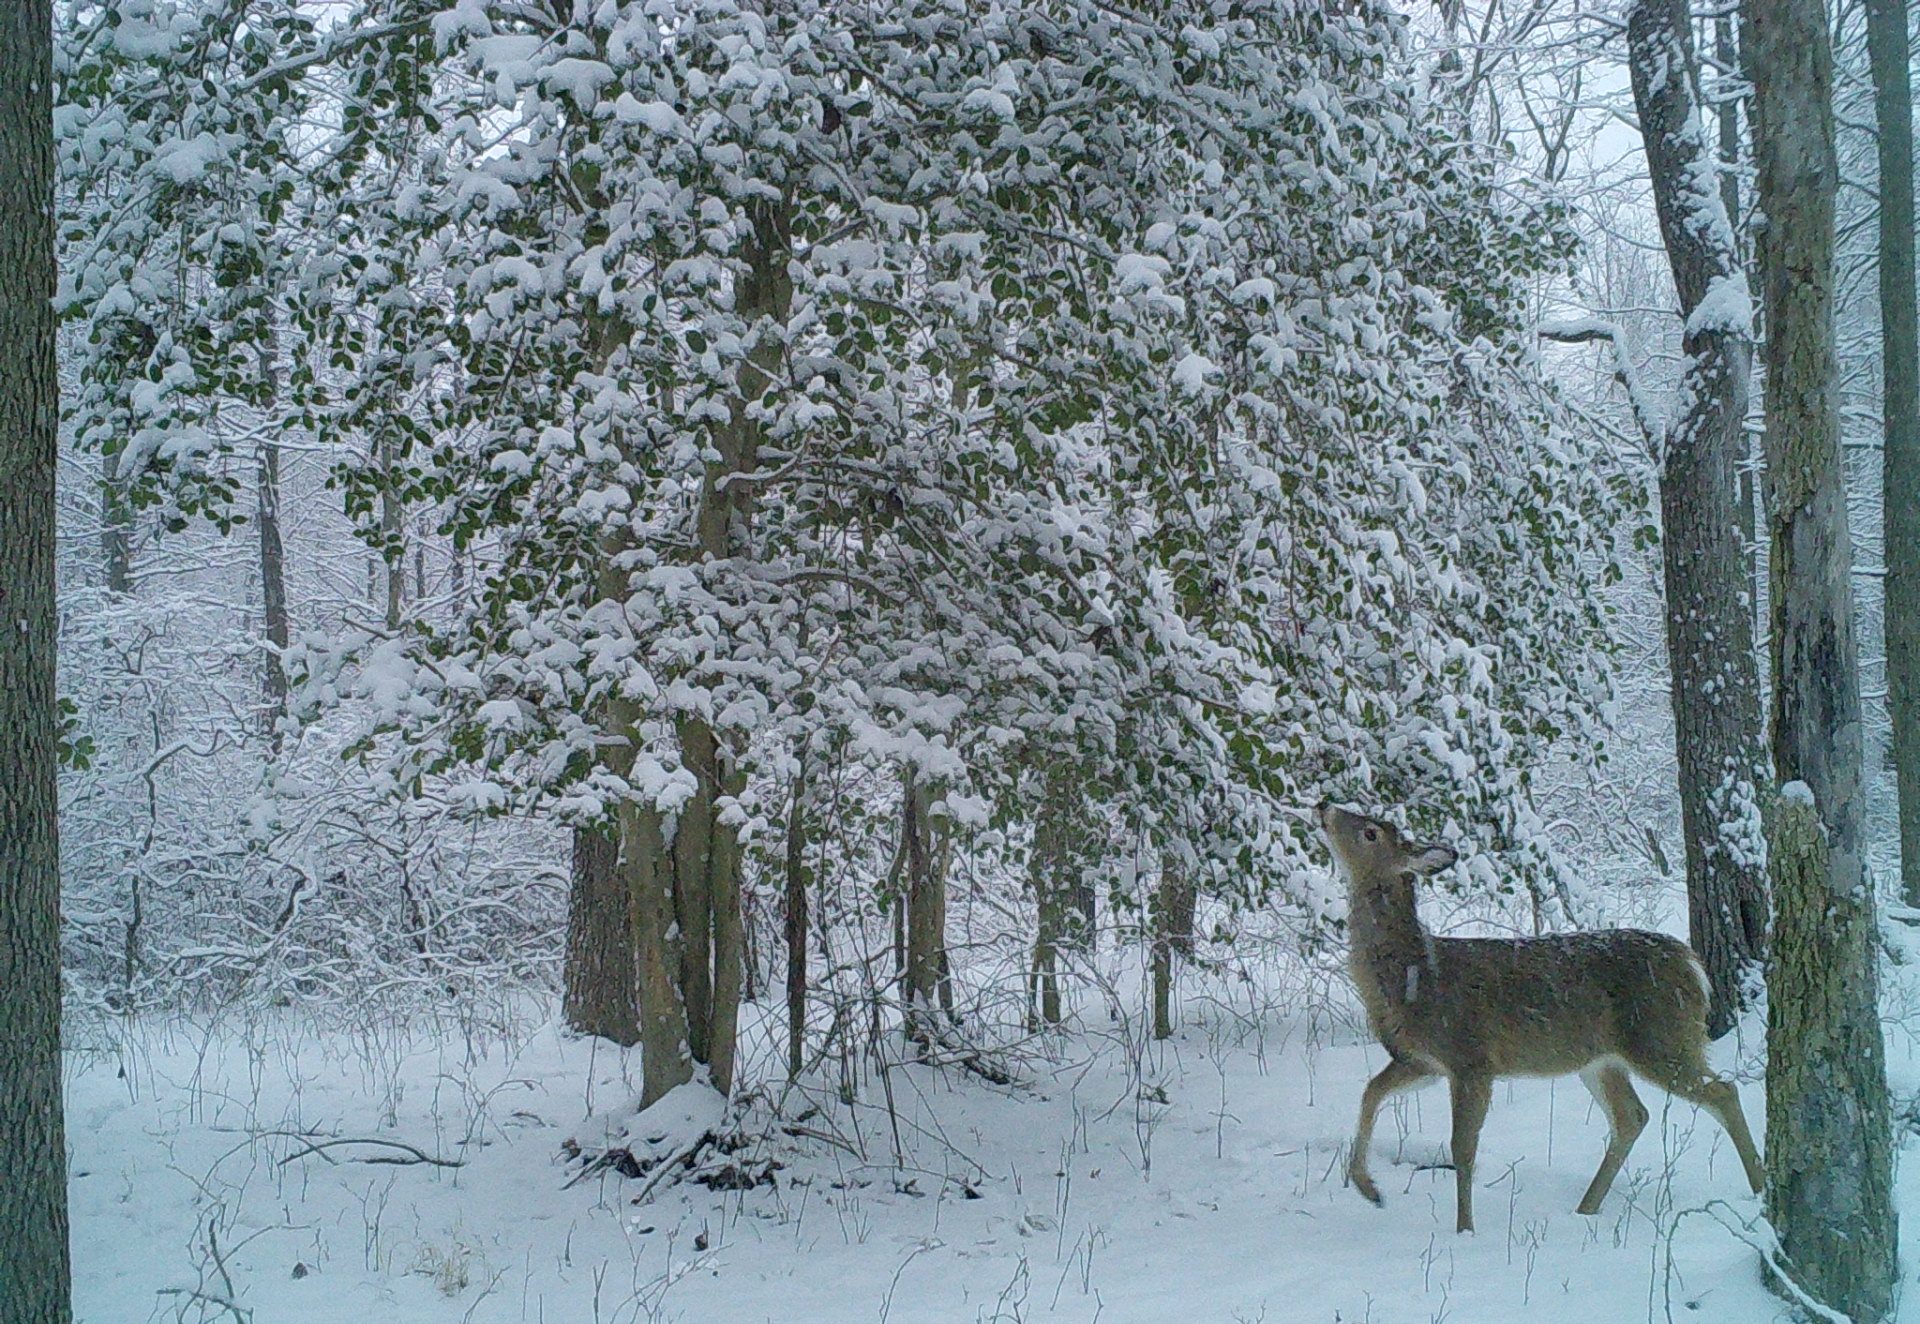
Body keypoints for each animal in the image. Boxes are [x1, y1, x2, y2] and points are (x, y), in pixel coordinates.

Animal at [1313, 798, 1758, 1235]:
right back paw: (1585, 1209)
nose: (1323, 805)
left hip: (1661, 1037)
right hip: (1603, 1060)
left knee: (1723, 1091)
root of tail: (1692, 965)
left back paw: (1758, 1188)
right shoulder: (1421, 1061)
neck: (1416, 973)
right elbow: (1371, 1091)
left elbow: (1462, 1147)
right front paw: (1368, 1188)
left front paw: (1464, 1230)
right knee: (1632, 1116)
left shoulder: (1470, 1057)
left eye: (1371, 832)